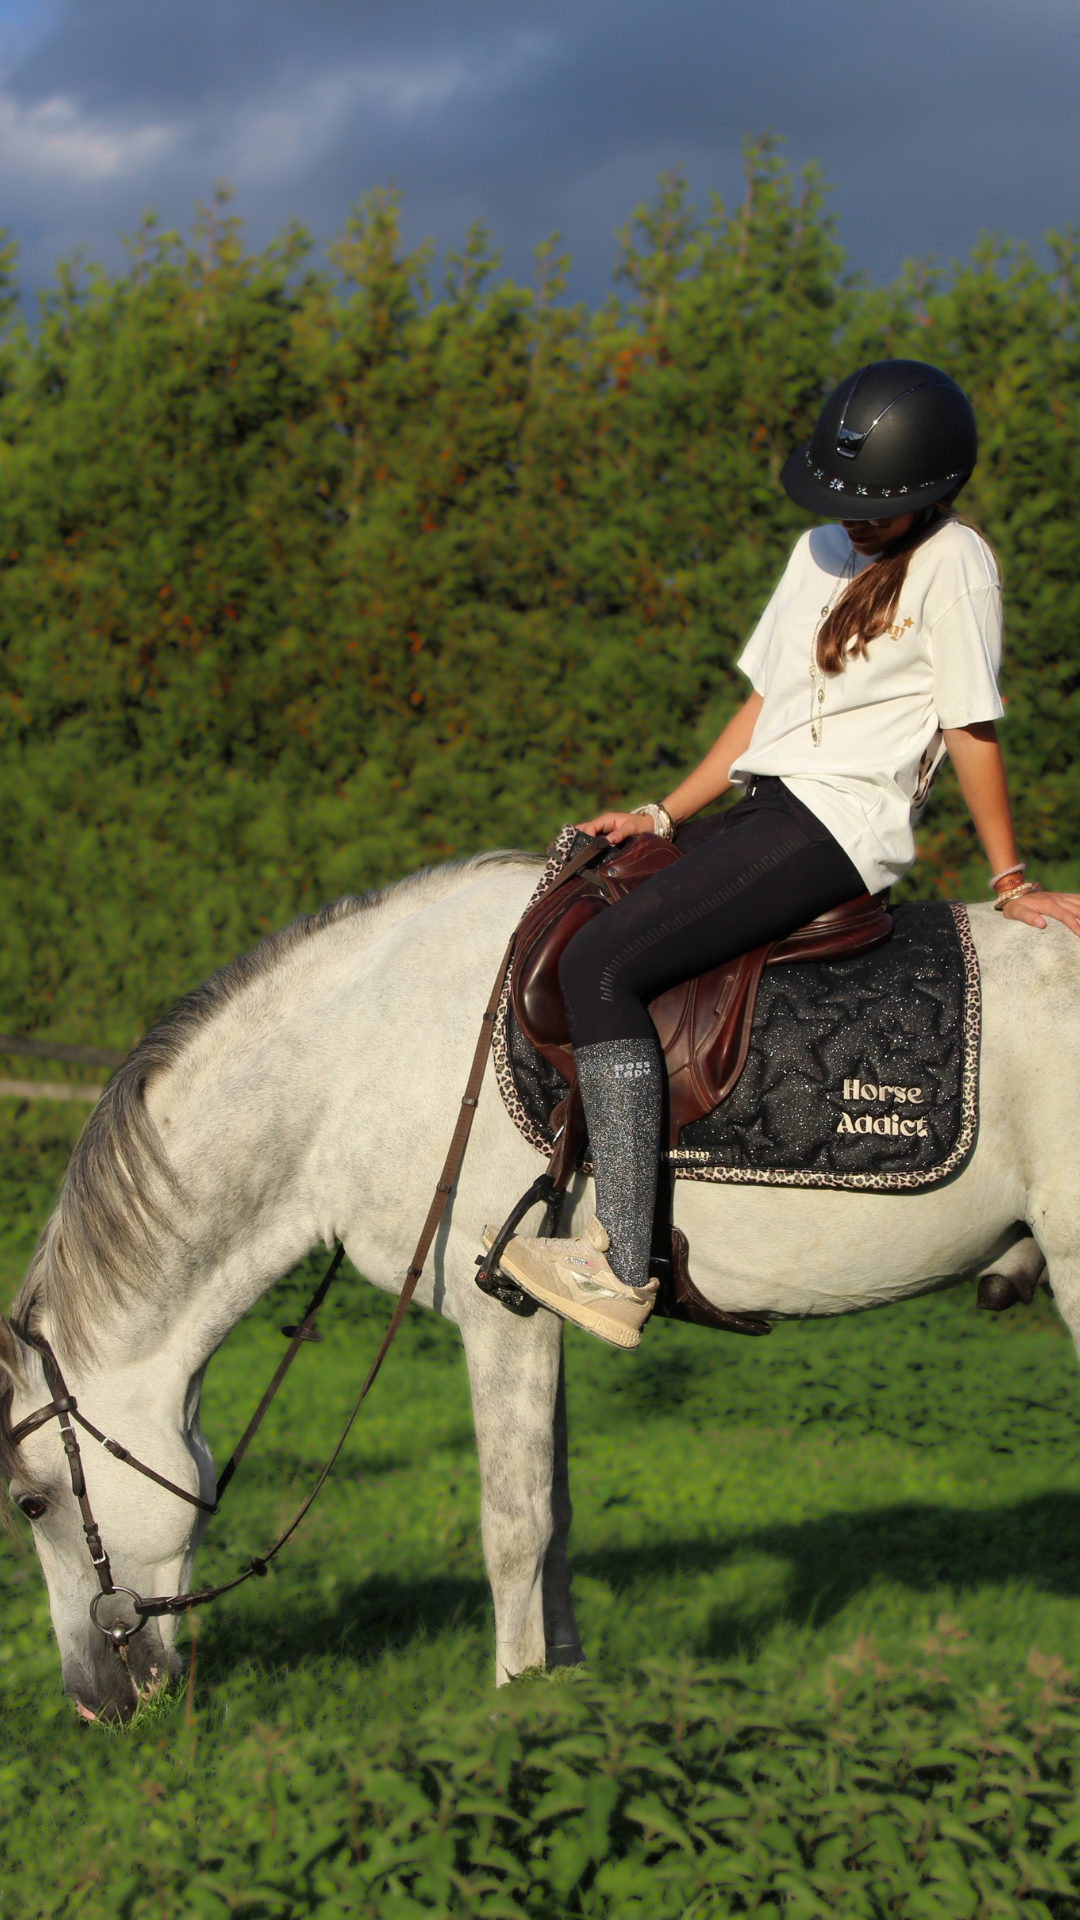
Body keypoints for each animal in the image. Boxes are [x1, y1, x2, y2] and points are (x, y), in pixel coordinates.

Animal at [1, 850, 1077, 1721]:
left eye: (31, 1504)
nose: (93, 1705)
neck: (357, 1069)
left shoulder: (498, 1318)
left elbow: (513, 1526)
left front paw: (508, 1701)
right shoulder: (547, 1318)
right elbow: (554, 1519)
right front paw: (560, 1684)